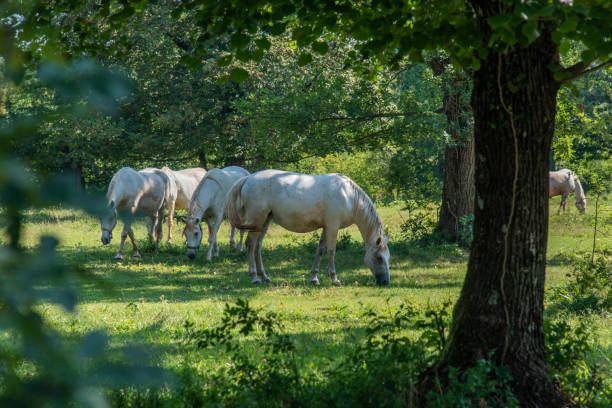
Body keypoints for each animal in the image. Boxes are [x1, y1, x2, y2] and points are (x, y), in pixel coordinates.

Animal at [226, 171, 392, 286]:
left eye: (387, 257)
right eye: (379, 258)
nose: (385, 282)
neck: (349, 196)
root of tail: (249, 178)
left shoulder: (326, 227)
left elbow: (320, 250)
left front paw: (314, 278)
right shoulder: (333, 226)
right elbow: (331, 251)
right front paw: (334, 279)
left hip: (264, 221)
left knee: (257, 246)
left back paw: (265, 276)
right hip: (257, 220)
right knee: (250, 244)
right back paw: (255, 277)